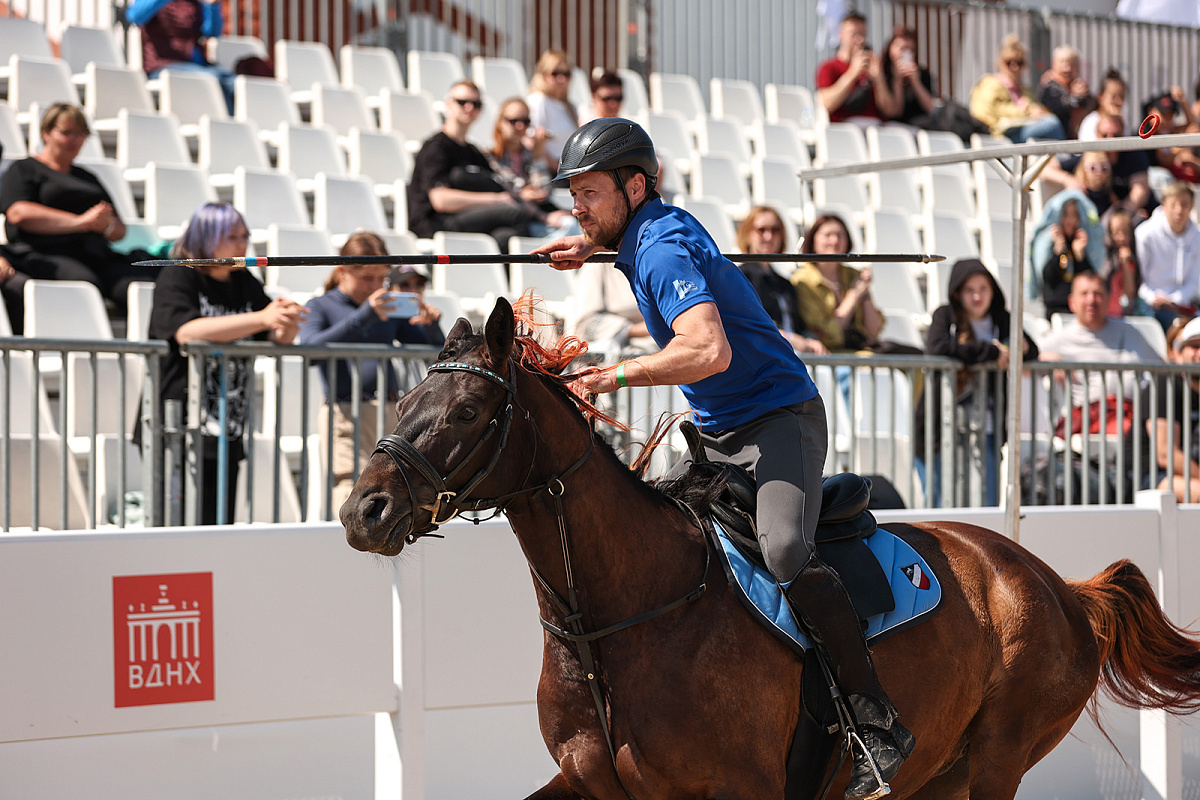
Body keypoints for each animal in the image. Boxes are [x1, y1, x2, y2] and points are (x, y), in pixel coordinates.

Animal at [340, 299, 1200, 800]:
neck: (622, 620)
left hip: (997, 757)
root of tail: (1059, 586)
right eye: (405, 398)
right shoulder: (589, 785)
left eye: (466, 411)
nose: (361, 510)